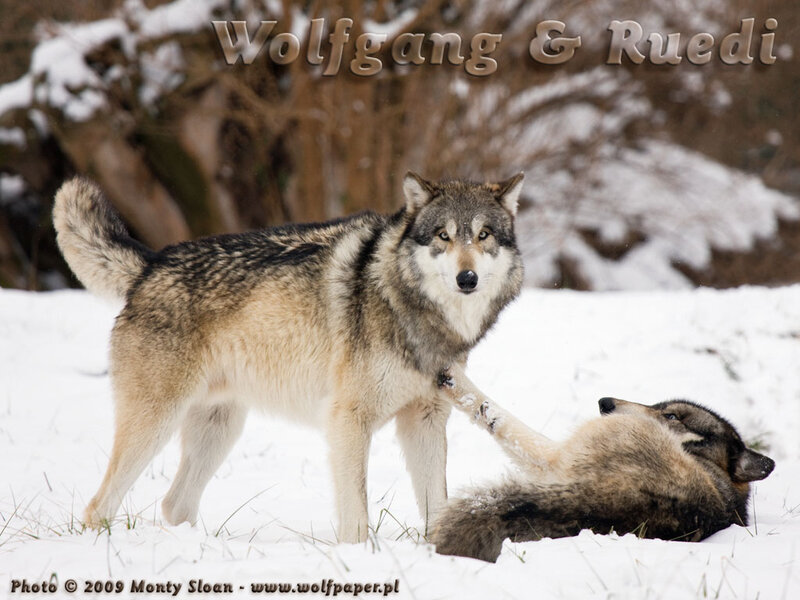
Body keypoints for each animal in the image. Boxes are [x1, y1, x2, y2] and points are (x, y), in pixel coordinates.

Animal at [52, 172, 524, 542]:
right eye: (444, 236)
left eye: (483, 235)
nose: (467, 278)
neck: (407, 303)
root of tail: (151, 264)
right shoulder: (348, 420)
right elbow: (357, 514)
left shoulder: (424, 420)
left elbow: (436, 503)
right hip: (155, 424)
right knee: (100, 506)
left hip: (219, 429)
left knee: (174, 505)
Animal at [431, 367, 775, 561]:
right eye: (658, 405)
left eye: (672, 415)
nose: (604, 403)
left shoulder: (554, 460)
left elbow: (503, 425)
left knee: (501, 420)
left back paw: (454, 380)